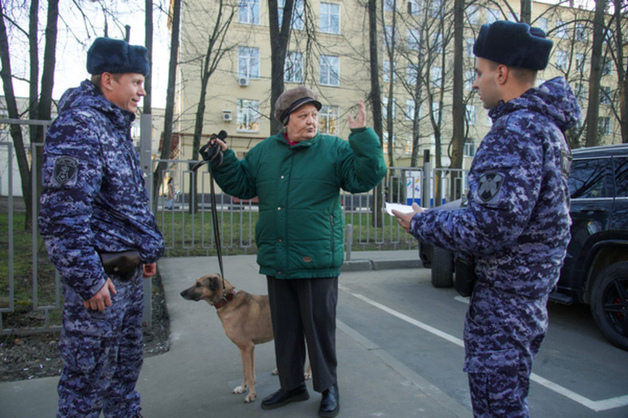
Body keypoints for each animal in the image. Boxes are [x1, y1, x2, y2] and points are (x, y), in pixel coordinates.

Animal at [180, 272, 310, 404]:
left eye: (199, 284)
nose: (181, 293)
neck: (227, 300)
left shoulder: (246, 347)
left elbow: (249, 373)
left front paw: (251, 395)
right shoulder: (245, 348)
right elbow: (246, 371)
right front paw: (243, 387)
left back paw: (308, 373)